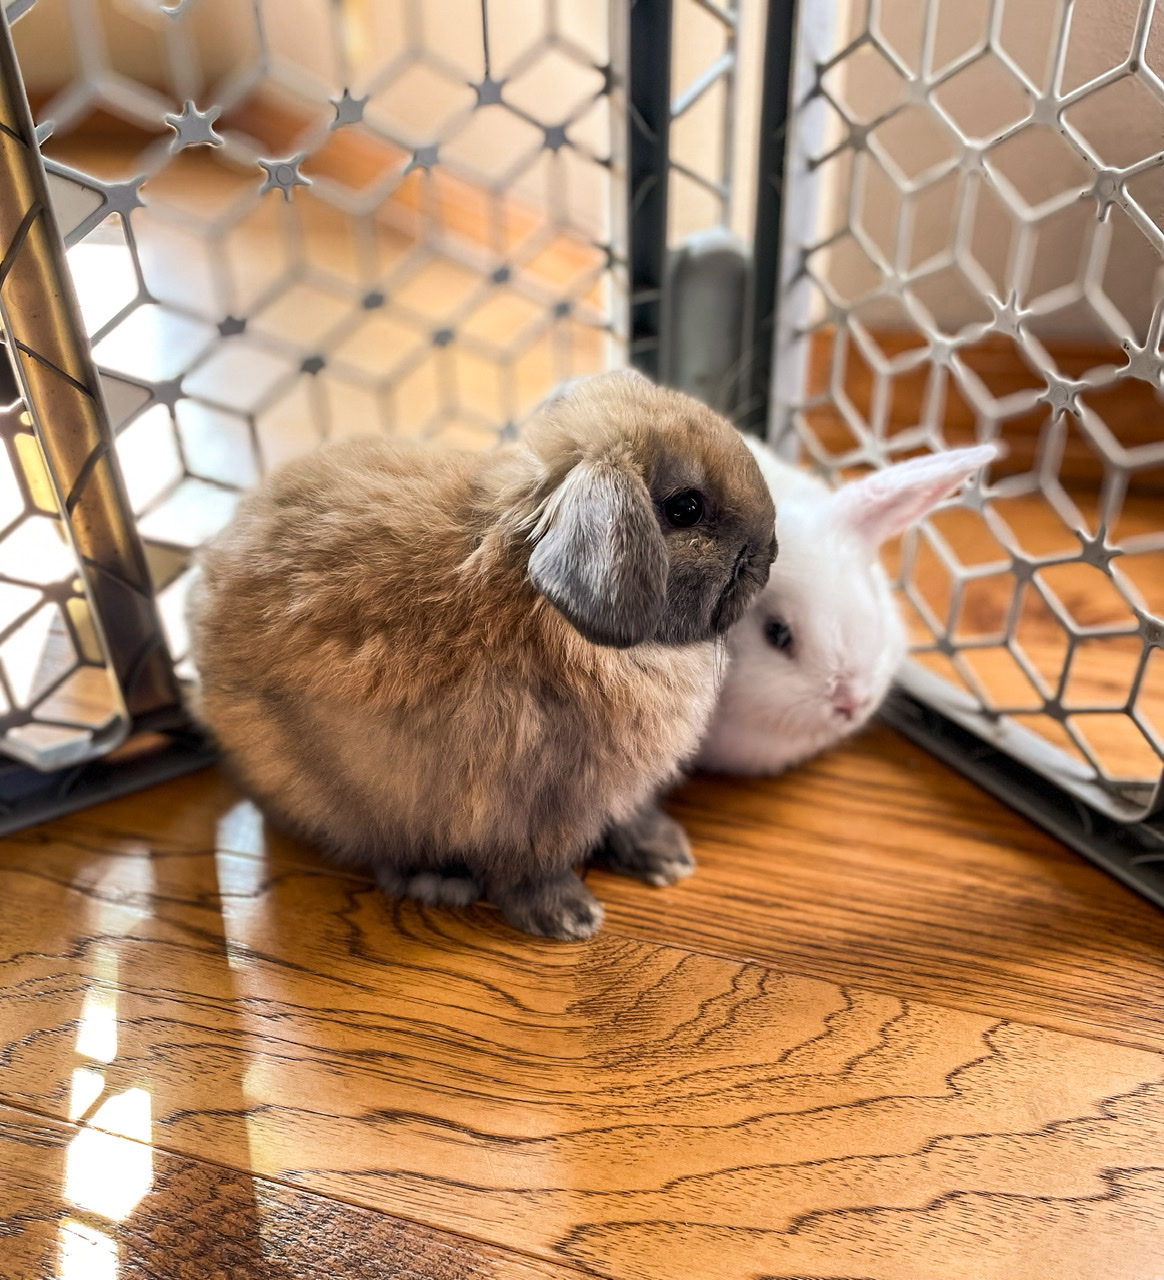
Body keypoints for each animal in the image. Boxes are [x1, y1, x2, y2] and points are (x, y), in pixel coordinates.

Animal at [188, 369, 776, 941]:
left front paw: (666, 857)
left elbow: (631, 817)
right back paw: (437, 880)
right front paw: (569, 918)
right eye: (685, 508)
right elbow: (530, 868)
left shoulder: (617, 789)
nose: (768, 553)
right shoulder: (520, 805)